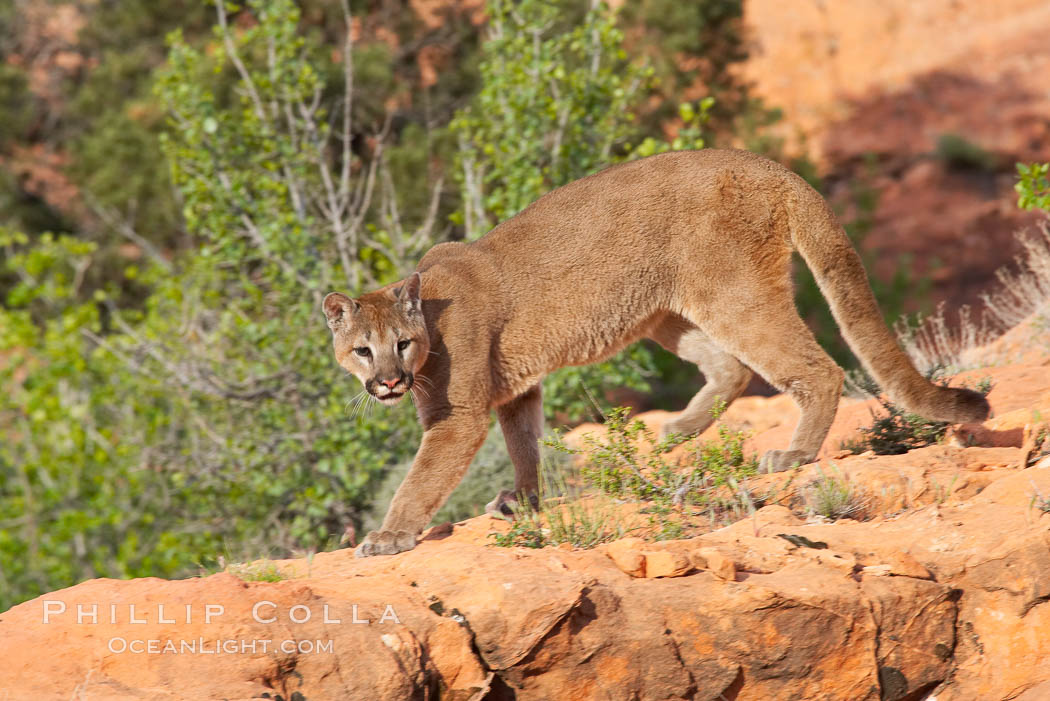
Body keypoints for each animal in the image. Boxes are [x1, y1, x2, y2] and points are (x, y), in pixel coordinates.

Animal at [323, 149, 986, 558]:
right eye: (362, 351)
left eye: (401, 345)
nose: (388, 382)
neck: (431, 319)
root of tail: (766, 163)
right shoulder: (517, 388)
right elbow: (526, 443)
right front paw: (524, 501)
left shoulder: (457, 416)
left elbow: (421, 478)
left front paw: (389, 536)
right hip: (668, 310)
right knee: (732, 368)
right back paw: (676, 432)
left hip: (732, 294)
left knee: (816, 369)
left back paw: (793, 454)